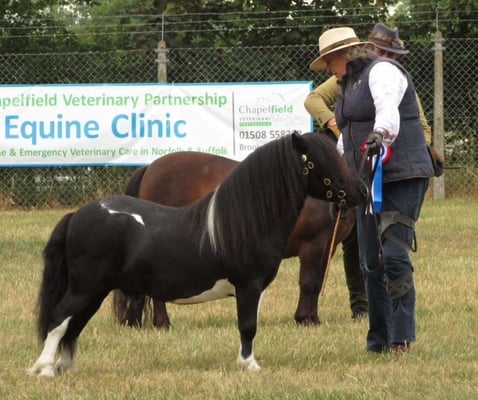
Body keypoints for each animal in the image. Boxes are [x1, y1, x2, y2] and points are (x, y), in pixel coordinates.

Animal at [112, 139, 358, 326]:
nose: (360, 191)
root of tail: (149, 168)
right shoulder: (312, 244)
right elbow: (307, 282)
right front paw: (304, 319)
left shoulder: (327, 248)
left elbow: (316, 283)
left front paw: (312, 318)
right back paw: (163, 323)